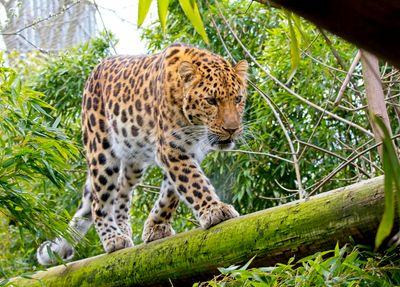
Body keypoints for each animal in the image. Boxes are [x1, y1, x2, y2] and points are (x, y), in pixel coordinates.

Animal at [36, 42, 247, 266]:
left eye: (238, 99)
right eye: (211, 100)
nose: (232, 129)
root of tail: (94, 71)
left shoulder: (187, 152)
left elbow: (170, 194)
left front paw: (156, 227)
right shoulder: (171, 148)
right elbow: (193, 182)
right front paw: (215, 210)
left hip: (133, 162)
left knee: (121, 188)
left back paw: (122, 227)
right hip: (101, 151)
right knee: (98, 201)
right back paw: (113, 238)